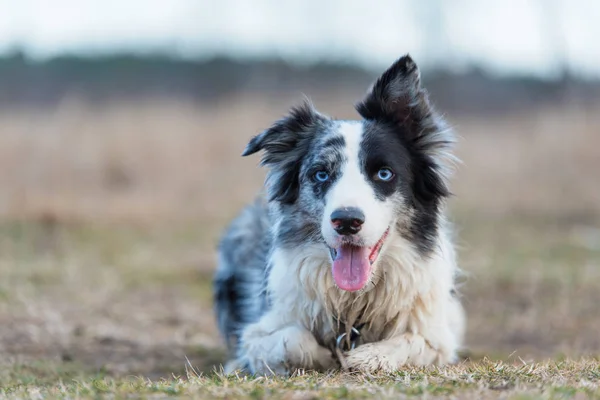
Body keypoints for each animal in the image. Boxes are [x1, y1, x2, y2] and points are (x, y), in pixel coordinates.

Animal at [213, 55, 466, 376]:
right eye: (321, 174)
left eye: (384, 173)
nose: (347, 221)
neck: (353, 303)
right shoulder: (260, 329)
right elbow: (292, 340)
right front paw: (327, 356)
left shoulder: (439, 334)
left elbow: (411, 341)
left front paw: (368, 356)